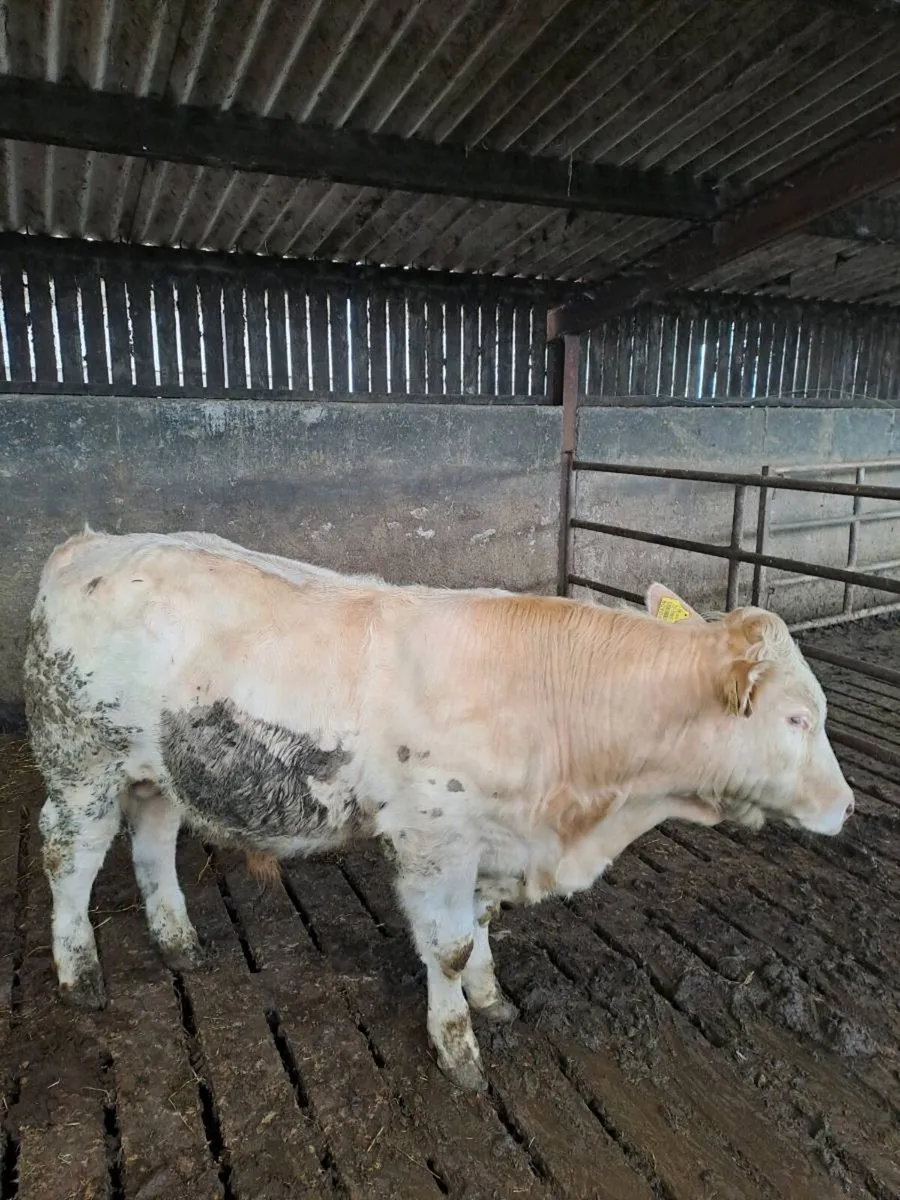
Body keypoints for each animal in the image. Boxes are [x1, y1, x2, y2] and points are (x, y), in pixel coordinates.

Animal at [23, 528, 854, 1092]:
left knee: (153, 841)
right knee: (67, 857)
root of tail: (88, 545)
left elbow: (481, 928)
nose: (847, 806)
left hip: (158, 772)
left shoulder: (494, 843)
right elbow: (448, 947)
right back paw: (80, 973)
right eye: (796, 719)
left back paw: (179, 940)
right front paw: (458, 1047)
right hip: (81, 765)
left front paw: (492, 999)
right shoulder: (434, 841)